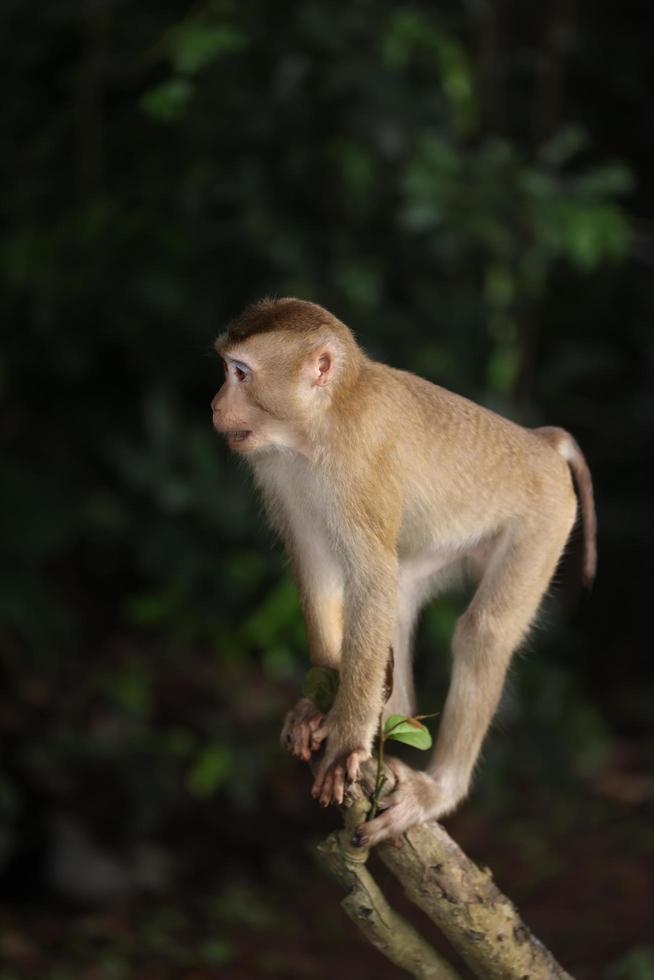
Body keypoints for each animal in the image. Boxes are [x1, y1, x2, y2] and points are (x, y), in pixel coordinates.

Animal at [211, 294, 600, 848]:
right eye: (227, 370)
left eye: (240, 373)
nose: (215, 405)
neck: (319, 423)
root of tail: (540, 442)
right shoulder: (277, 469)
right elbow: (318, 565)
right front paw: (317, 700)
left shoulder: (356, 468)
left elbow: (370, 577)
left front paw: (346, 740)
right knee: (399, 602)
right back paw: (392, 731)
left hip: (545, 522)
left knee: (482, 632)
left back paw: (439, 788)